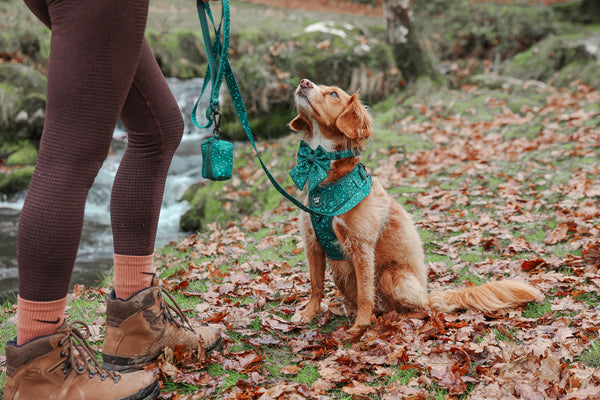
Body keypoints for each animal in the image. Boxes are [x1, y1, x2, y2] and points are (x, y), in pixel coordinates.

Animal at [288, 79, 548, 340]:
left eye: (333, 94)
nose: (303, 82)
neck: (325, 172)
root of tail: (427, 293)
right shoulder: (312, 242)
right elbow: (316, 285)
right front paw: (308, 314)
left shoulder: (361, 247)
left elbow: (365, 294)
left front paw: (359, 328)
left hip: (392, 275)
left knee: (423, 309)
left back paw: (399, 317)